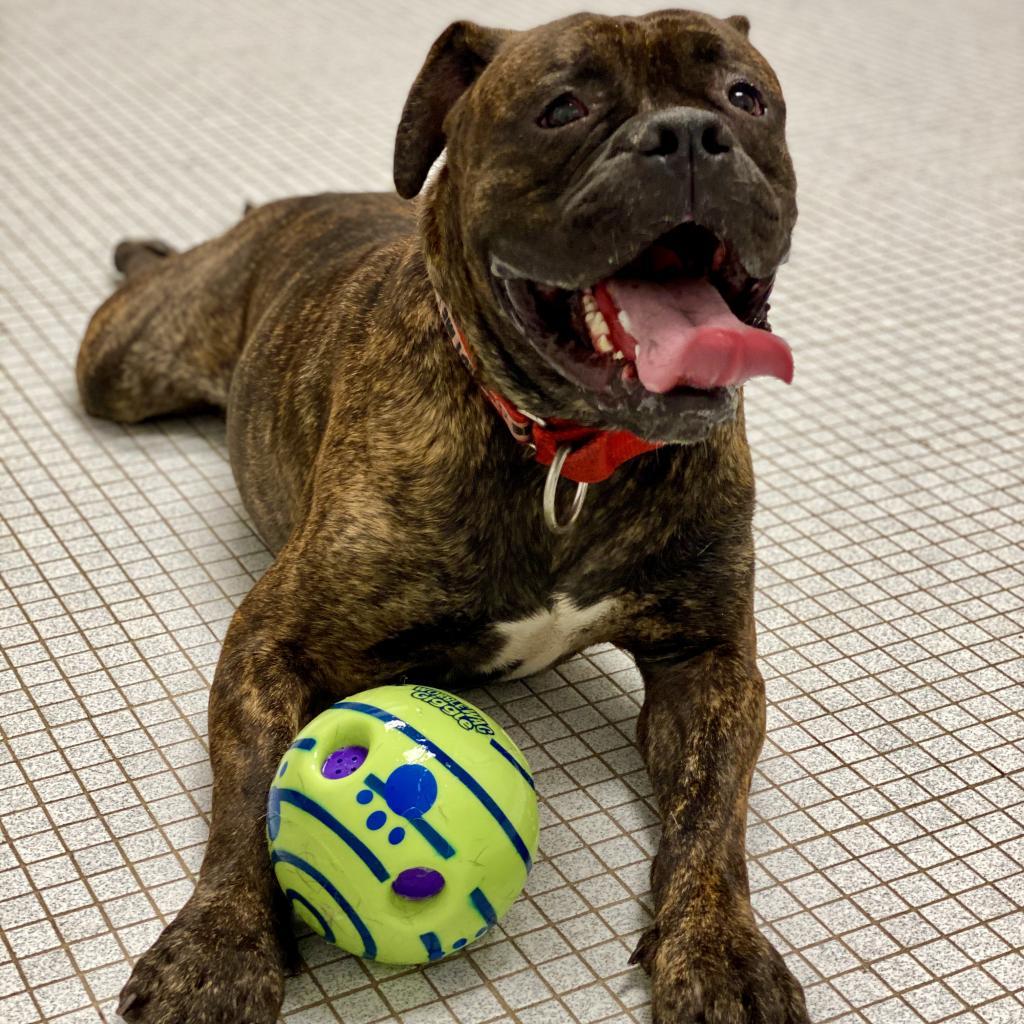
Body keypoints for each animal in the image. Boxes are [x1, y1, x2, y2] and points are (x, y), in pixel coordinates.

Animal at [77, 9, 806, 1024]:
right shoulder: (272, 642)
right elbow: (248, 792)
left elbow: (712, 820)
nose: (691, 135)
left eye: (746, 96)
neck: (562, 456)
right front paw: (220, 943)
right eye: (561, 107)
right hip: (124, 364)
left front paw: (718, 946)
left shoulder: (708, 667)